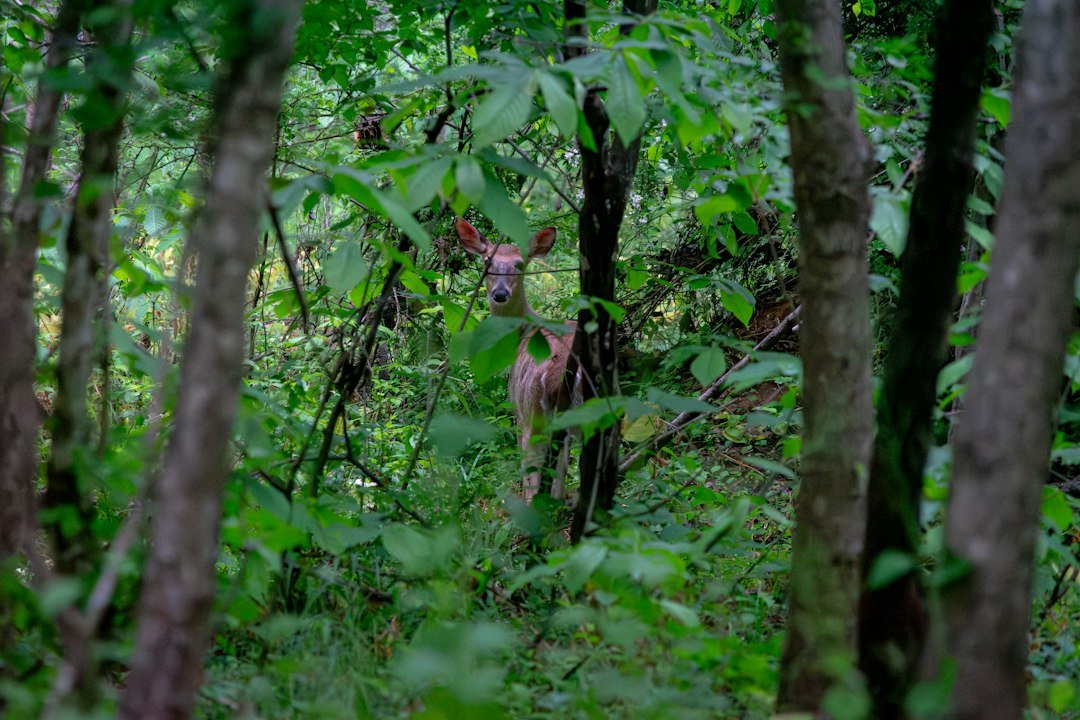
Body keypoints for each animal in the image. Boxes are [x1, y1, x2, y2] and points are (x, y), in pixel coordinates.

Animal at [455, 217, 581, 503]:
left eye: (520, 264)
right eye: (487, 261)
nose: (500, 294)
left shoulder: (517, 407)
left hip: (532, 412)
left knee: (533, 476)